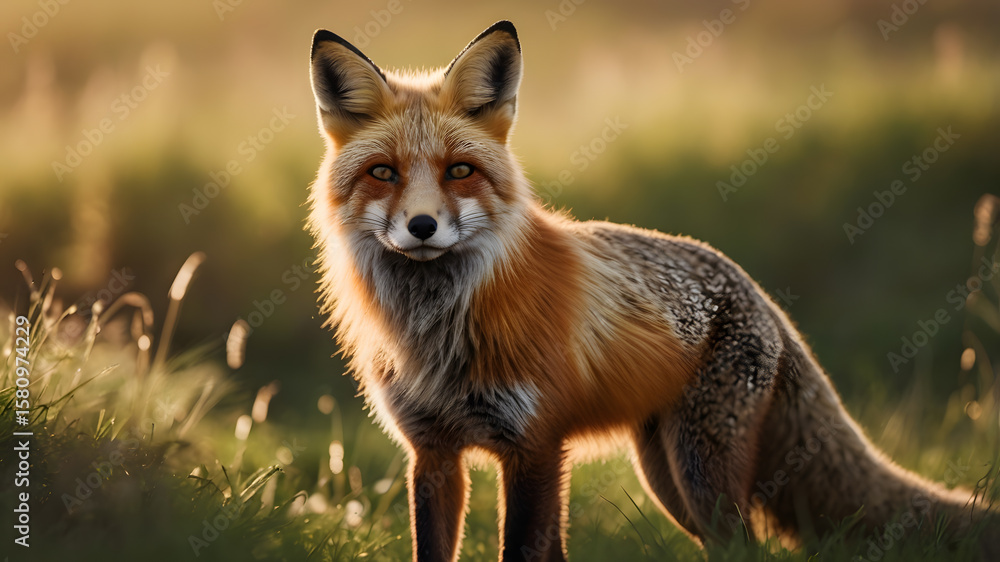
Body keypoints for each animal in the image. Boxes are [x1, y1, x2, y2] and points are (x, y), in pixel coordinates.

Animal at [306, 20, 995, 561]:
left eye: (459, 171)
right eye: (383, 172)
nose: (423, 226)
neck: (438, 329)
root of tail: (762, 296)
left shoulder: (535, 444)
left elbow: (523, 549)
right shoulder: (433, 453)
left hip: (698, 473)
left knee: (746, 547)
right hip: (667, 478)